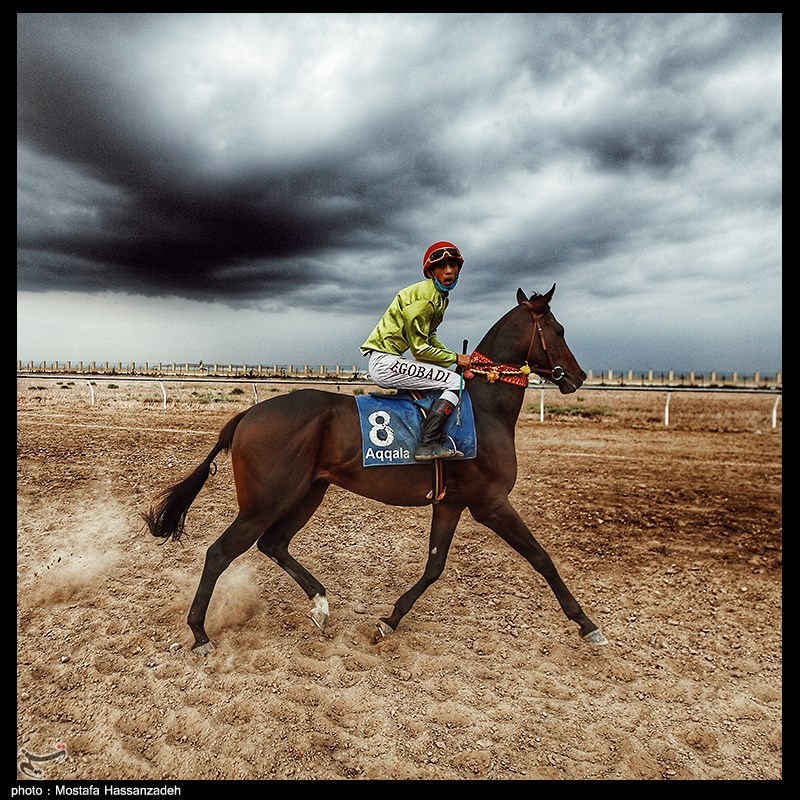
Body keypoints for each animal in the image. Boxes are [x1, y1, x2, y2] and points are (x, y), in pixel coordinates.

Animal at [142, 284, 608, 652]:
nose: (579, 376)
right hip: (265, 501)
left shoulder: (450, 503)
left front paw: (388, 621)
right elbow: (542, 558)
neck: (485, 409)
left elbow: (434, 567)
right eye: (559, 330)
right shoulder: (490, 502)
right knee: (220, 552)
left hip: (308, 492)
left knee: (274, 544)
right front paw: (588, 625)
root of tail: (246, 417)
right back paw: (200, 633)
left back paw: (321, 606)